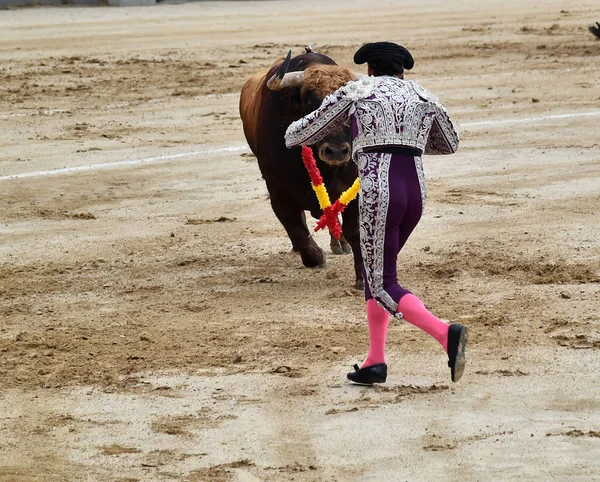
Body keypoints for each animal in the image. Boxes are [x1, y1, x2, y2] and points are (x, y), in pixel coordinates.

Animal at [238, 50, 360, 288]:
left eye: (349, 106)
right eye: (313, 103)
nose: (337, 151)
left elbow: (355, 231)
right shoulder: (278, 191)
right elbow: (297, 229)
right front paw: (317, 256)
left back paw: (340, 244)